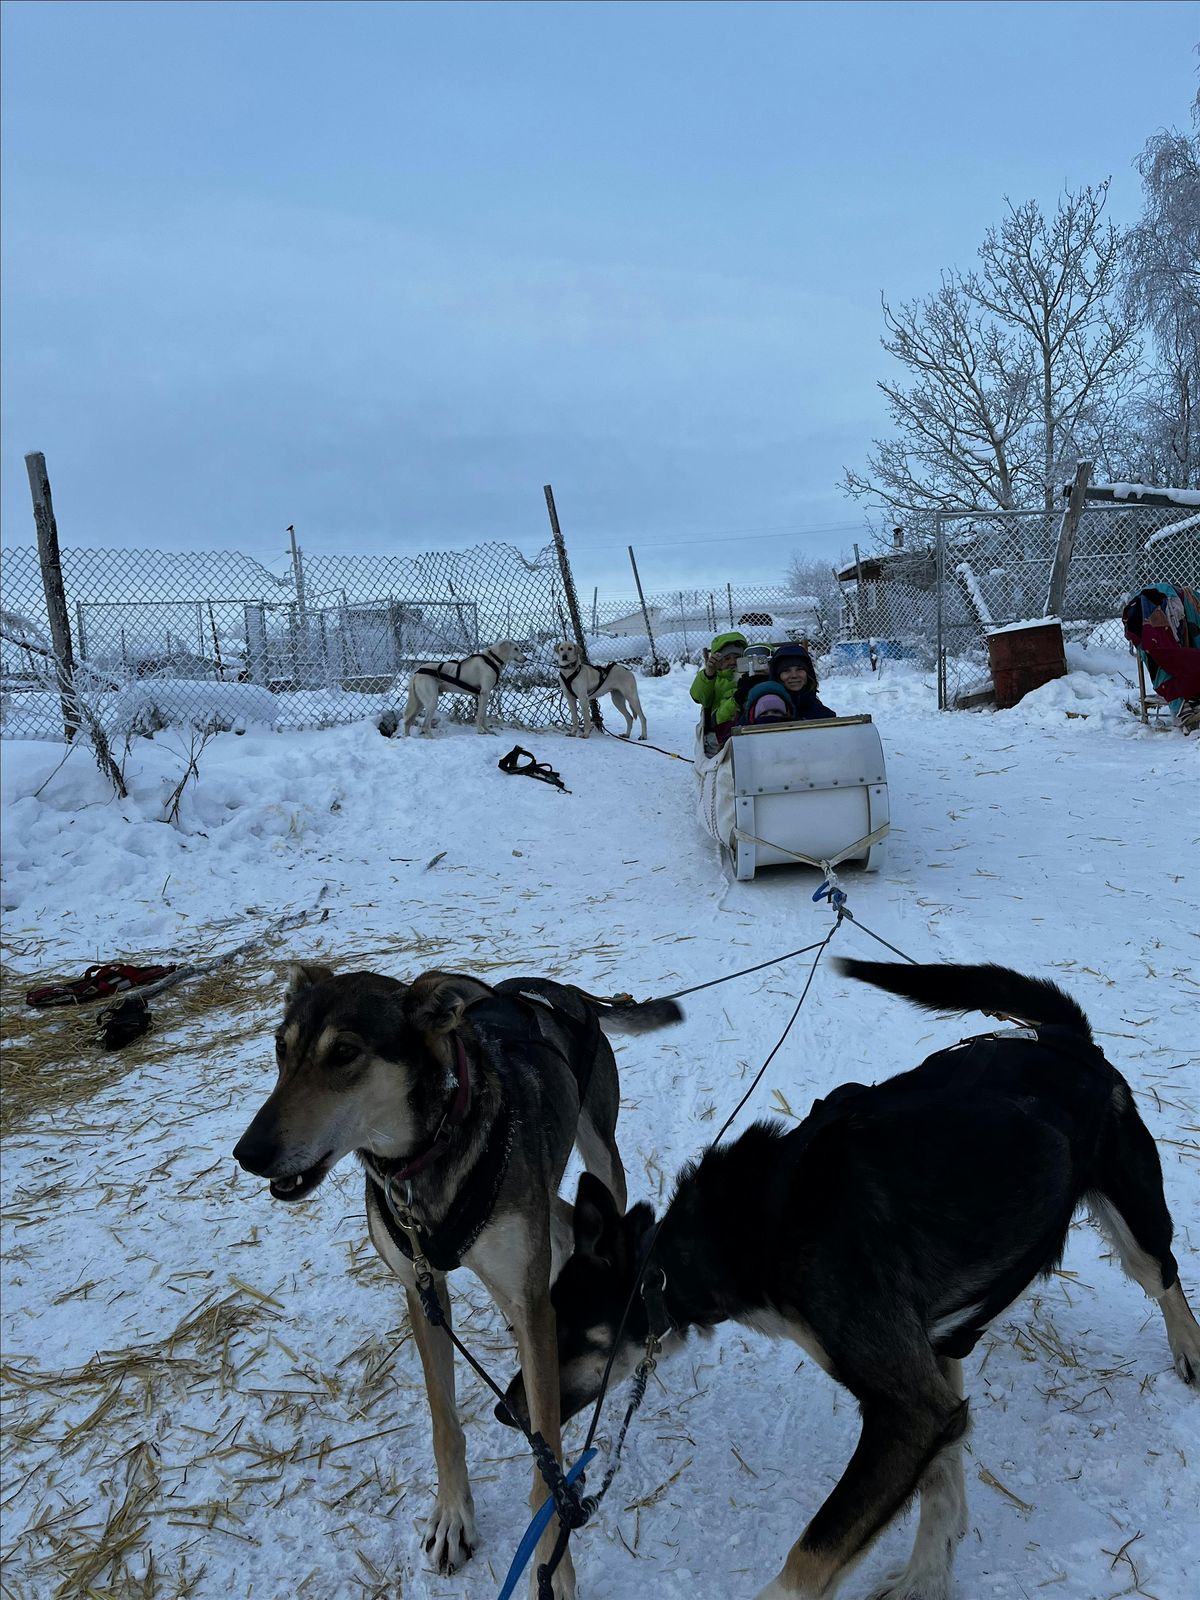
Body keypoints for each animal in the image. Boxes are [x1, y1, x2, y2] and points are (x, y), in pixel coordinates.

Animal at [233, 963, 682, 1598]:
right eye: (279, 1048)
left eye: (344, 1053)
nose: (248, 1153)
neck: (419, 1163)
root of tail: (558, 990)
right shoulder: (422, 1291)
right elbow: (444, 1421)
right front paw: (452, 1518)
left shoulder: (528, 1301)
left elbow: (546, 1454)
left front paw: (553, 1564)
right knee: (560, 1223)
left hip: (599, 1156)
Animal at [501, 959, 1200, 1600]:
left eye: (565, 1334)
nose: (510, 1412)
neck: (738, 1233)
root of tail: (1061, 1040)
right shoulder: (927, 1395)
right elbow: (941, 1481)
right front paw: (927, 1577)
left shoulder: (908, 1412)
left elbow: (808, 1561)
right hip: (956, 1332)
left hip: (1136, 1226)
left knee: (1166, 1278)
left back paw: (1190, 1348)